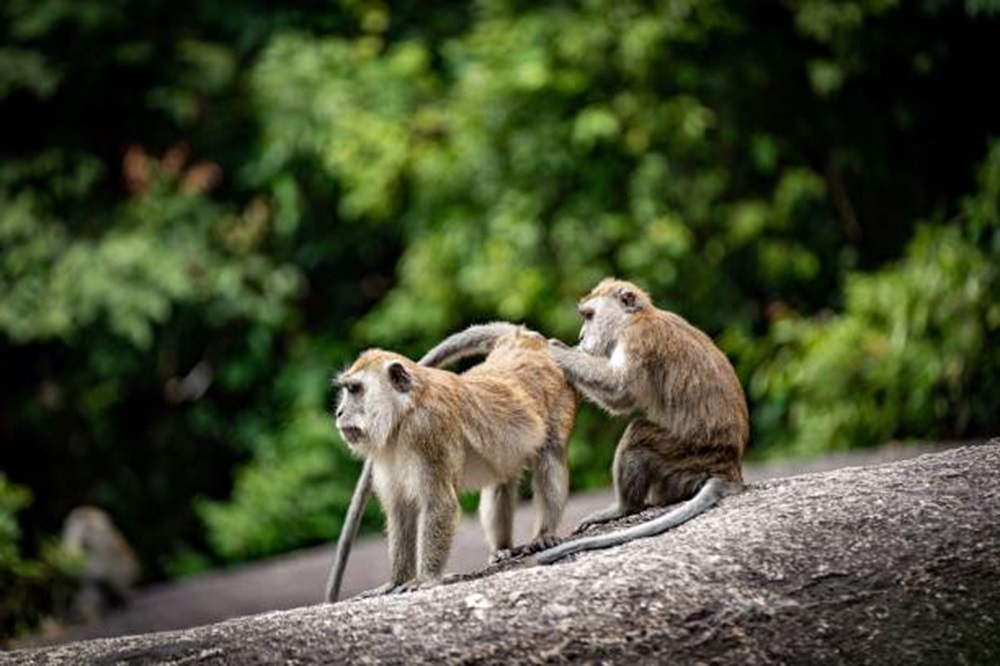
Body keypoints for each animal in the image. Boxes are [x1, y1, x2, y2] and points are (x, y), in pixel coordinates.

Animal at [332, 322, 576, 596]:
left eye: (355, 389)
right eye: (347, 389)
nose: (339, 412)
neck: (404, 413)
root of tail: (524, 340)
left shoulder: (427, 430)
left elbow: (440, 503)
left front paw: (426, 579)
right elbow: (401, 511)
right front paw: (395, 581)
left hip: (561, 397)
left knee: (550, 455)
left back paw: (544, 533)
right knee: (501, 481)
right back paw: (502, 548)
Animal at [540, 278, 744, 564]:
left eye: (589, 316)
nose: (581, 337)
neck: (635, 318)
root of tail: (728, 466)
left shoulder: (637, 340)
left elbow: (619, 391)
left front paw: (555, 350)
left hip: (685, 458)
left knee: (638, 433)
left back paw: (624, 508)